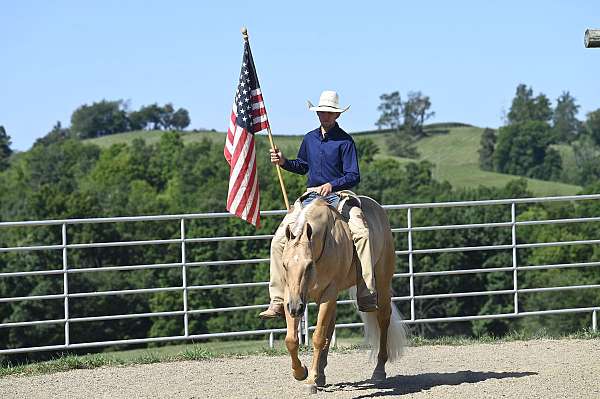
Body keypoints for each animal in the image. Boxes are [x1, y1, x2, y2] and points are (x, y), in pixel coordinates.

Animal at [282, 196, 408, 394]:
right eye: (285, 265)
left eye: (309, 265)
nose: (295, 308)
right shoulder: (292, 295)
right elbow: (292, 340)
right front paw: (301, 372)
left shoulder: (328, 293)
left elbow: (318, 337)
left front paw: (310, 380)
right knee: (330, 326)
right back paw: (321, 375)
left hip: (382, 282)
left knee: (383, 319)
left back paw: (379, 371)